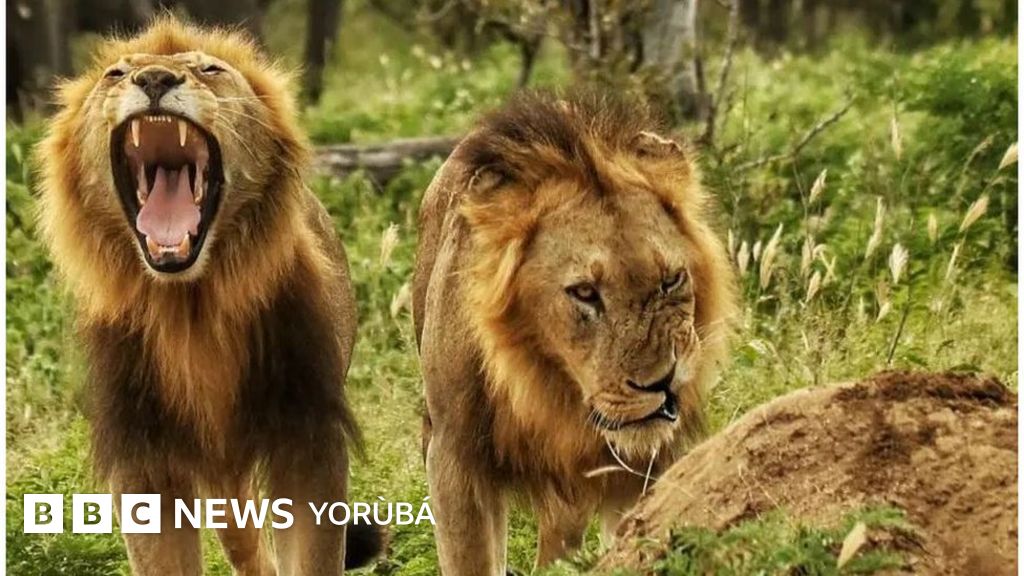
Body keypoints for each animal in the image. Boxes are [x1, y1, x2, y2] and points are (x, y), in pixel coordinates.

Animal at [36, 17, 380, 575]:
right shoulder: (144, 455)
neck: (190, 306)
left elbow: (312, 553)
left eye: (210, 70)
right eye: (116, 74)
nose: (154, 78)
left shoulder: (308, 434)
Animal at [412, 91, 737, 574]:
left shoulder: (642, 469)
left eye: (671, 280)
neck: (544, 385)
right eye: (584, 292)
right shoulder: (453, 454)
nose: (662, 382)